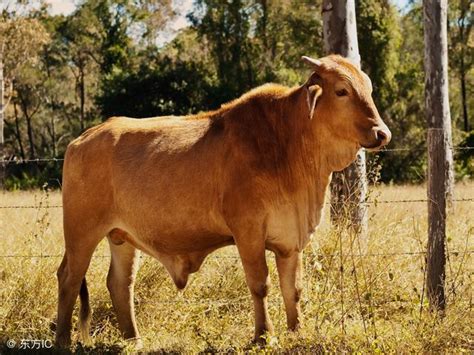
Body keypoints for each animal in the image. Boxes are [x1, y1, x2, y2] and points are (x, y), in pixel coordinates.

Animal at [54, 55, 388, 348]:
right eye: (342, 90)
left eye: (368, 89)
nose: (382, 133)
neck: (288, 142)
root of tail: (83, 139)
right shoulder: (248, 231)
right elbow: (260, 284)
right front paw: (264, 336)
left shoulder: (290, 239)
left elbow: (292, 289)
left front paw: (297, 332)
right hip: (82, 231)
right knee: (69, 278)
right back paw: (63, 340)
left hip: (121, 236)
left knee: (120, 283)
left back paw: (133, 339)